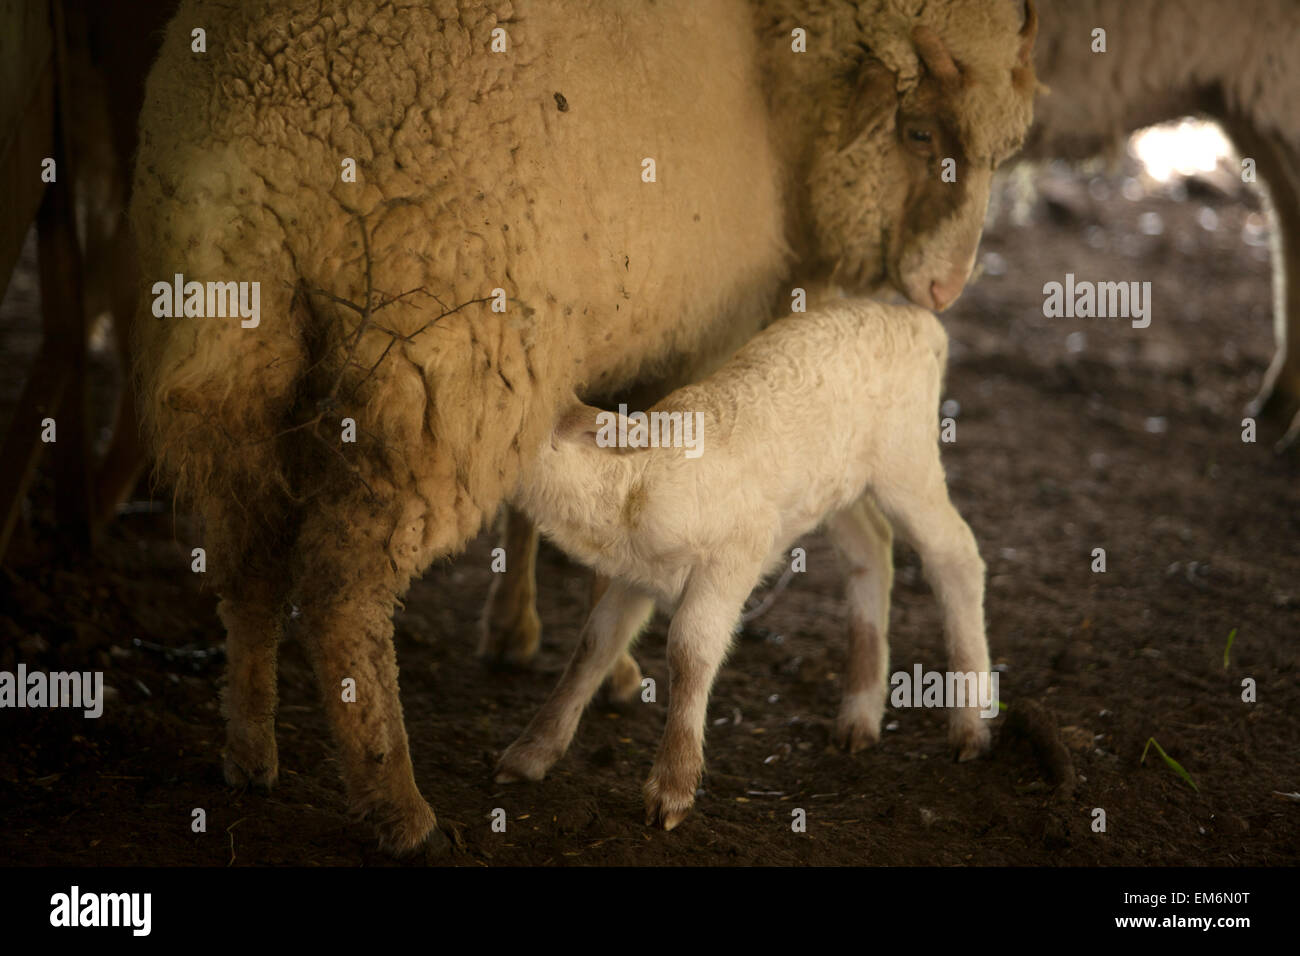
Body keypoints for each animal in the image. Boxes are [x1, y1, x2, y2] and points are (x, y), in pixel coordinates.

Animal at [493, 299, 982, 832]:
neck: (636, 481)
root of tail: (915, 320)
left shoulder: (735, 554)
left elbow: (690, 649)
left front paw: (673, 787)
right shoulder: (637, 574)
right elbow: (594, 644)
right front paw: (531, 752)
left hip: (906, 460)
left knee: (956, 555)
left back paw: (970, 724)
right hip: (839, 483)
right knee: (871, 547)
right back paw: (859, 715)